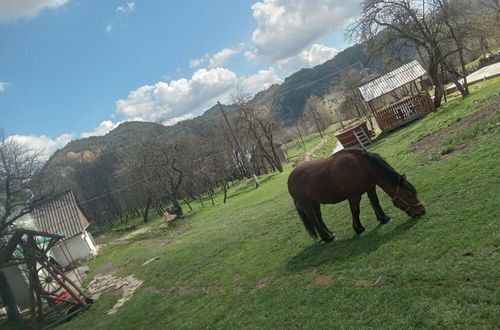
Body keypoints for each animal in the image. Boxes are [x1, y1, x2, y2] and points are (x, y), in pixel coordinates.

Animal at [288, 148, 424, 241]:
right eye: (409, 195)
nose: (422, 211)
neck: (362, 167)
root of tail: (290, 178)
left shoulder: (371, 187)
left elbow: (375, 202)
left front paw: (383, 218)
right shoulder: (354, 196)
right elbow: (355, 211)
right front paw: (358, 228)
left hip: (315, 202)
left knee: (319, 217)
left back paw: (329, 233)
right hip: (306, 204)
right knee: (313, 219)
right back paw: (327, 237)